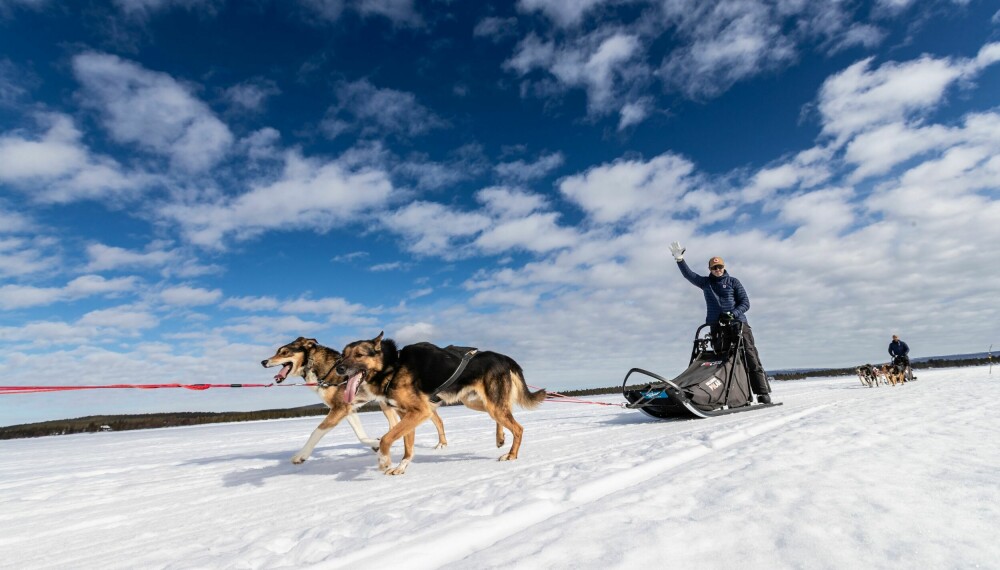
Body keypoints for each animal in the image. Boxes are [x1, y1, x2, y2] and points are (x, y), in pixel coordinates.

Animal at [262, 336, 446, 464]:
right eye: (278, 351)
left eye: (284, 352)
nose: (264, 361)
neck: (325, 369)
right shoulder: (348, 409)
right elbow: (360, 435)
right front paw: (375, 444)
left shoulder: (339, 409)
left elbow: (316, 432)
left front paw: (301, 455)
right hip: (387, 404)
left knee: (436, 419)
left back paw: (441, 445)